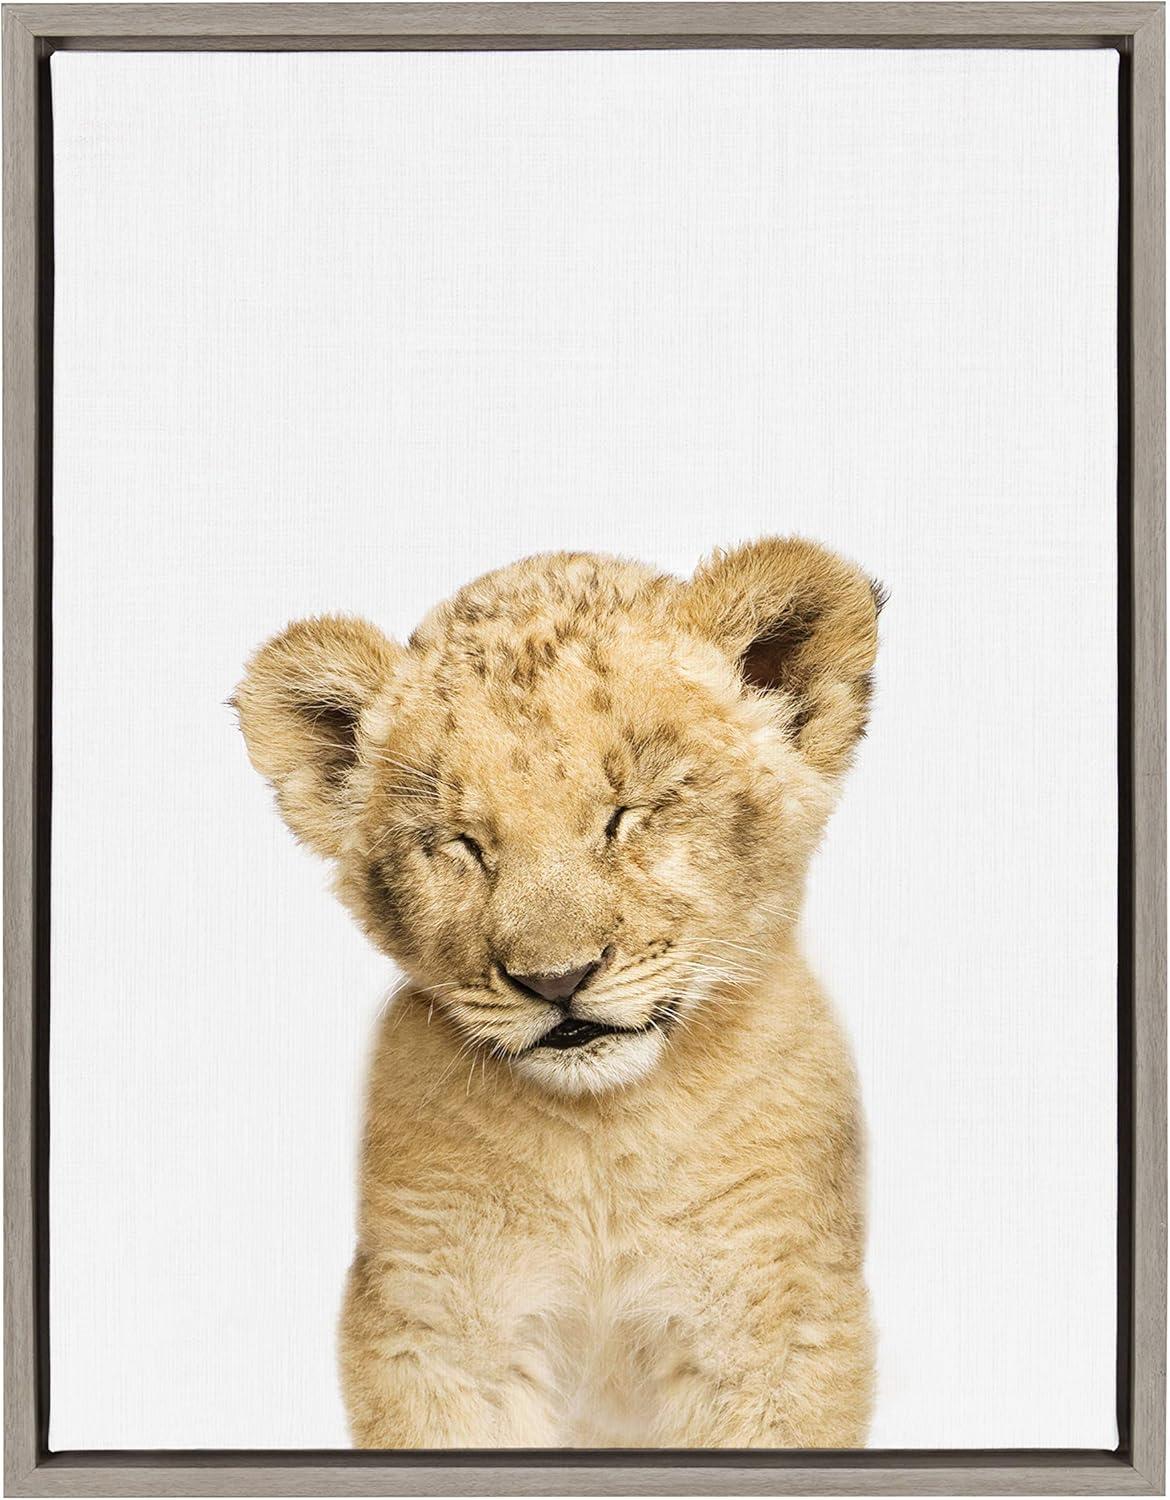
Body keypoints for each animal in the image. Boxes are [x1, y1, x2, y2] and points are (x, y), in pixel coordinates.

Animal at [234, 538, 881, 1449]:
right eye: (462, 843)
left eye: (629, 813)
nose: (556, 980)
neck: (600, 1140)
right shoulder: (432, 1328)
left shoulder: (776, 1325)